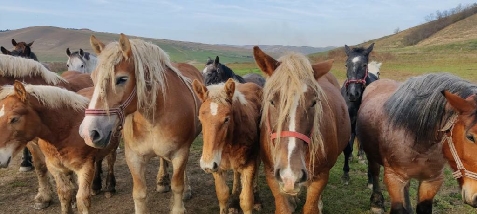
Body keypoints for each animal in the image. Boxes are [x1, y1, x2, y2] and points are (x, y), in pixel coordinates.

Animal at [79, 33, 202, 214]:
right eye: (93, 78)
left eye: (122, 79)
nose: (89, 133)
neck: (152, 119)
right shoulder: (134, 157)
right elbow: (139, 193)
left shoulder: (181, 152)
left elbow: (177, 185)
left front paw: (180, 198)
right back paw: (161, 181)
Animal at [192, 78, 262, 214]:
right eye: (200, 118)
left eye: (226, 119)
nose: (207, 164)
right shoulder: (217, 168)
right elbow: (223, 195)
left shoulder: (249, 164)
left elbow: (246, 201)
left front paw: (252, 201)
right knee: (236, 173)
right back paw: (234, 202)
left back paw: (257, 199)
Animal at [253, 46, 350, 213]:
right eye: (272, 101)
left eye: (314, 102)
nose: (291, 174)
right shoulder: (271, 174)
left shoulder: (320, 177)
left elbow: (311, 207)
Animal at [338, 43, 380, 184]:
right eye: (346, 65)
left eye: (364, 65)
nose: (352, 93)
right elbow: (347, 148)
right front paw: (346, 174)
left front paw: (371, 179)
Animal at [356, 72, 477, 213]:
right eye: (470, 137)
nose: (476, 198)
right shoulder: (393, 178)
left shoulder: (432, 181)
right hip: (372, 155)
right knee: (374, 172)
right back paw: (377, 203)